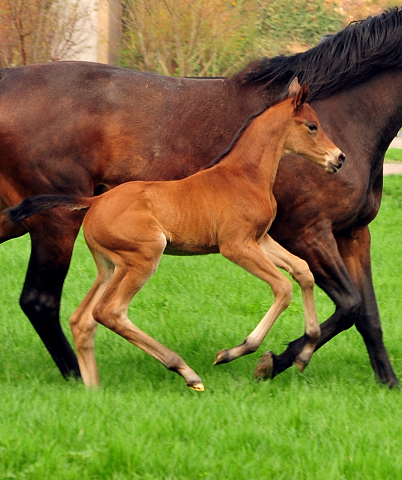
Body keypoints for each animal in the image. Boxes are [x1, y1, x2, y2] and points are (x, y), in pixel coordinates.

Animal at [6, 79, 344, 390]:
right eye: (312, 126)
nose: (338, 158)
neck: (245, 175)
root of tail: (95, 201)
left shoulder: (260, 239)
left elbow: (303, 271)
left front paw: (306, 350)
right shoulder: (236, 245)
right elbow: (283, 287)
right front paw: (234, 352)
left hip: (110, 266)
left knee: (82, 319)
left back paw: (93, 388)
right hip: (144, 257)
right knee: (109, 312)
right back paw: (185, 371)